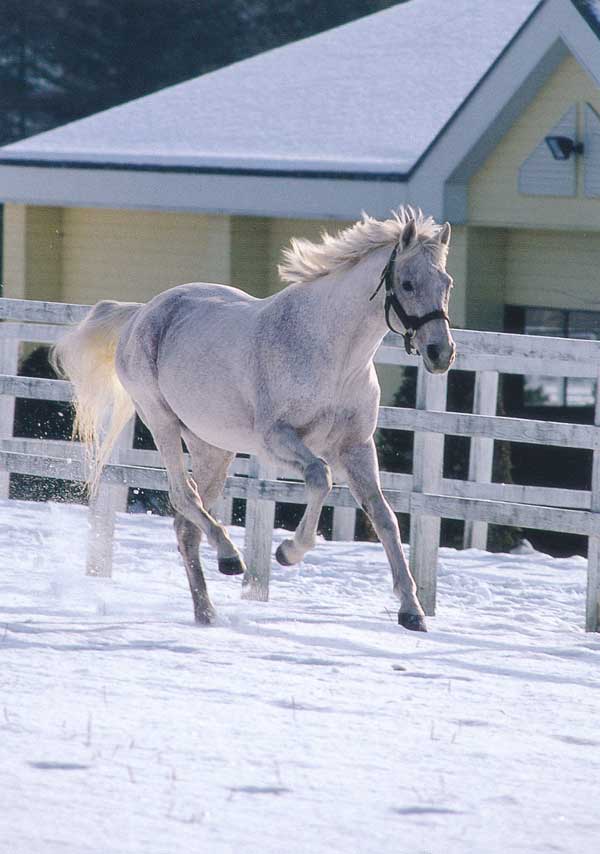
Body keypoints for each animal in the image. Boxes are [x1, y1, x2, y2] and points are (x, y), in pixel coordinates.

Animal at [55, 209, 454, 628]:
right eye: (407, 284)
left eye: (446, 283)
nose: (441, 353)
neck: (332, 353)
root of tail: (142, 313)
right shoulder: (275, 440)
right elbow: (320, 478)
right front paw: (288, 551)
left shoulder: (355, 447)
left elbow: (384, 517)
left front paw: (412, 611)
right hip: (161, 422)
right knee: (183, 496)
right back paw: (230, 558)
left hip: (212, 448)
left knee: (186, 526)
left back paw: (207, 611)